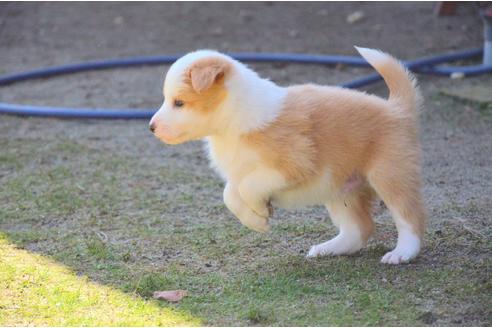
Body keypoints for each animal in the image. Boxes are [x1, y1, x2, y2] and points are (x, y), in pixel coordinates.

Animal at [148, 47, 424, 266]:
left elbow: (249, 187)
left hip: (390, 175)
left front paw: (261, 212)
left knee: (409, 219)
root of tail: (396, 108)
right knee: (359, 229)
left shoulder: (293, 164)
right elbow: (230, 195)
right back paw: (327, 249)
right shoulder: (239, 172)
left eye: (179, 102)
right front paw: (257, 220)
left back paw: (401, 254)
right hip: (340, 189)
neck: (234, 120)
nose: (151, 127)